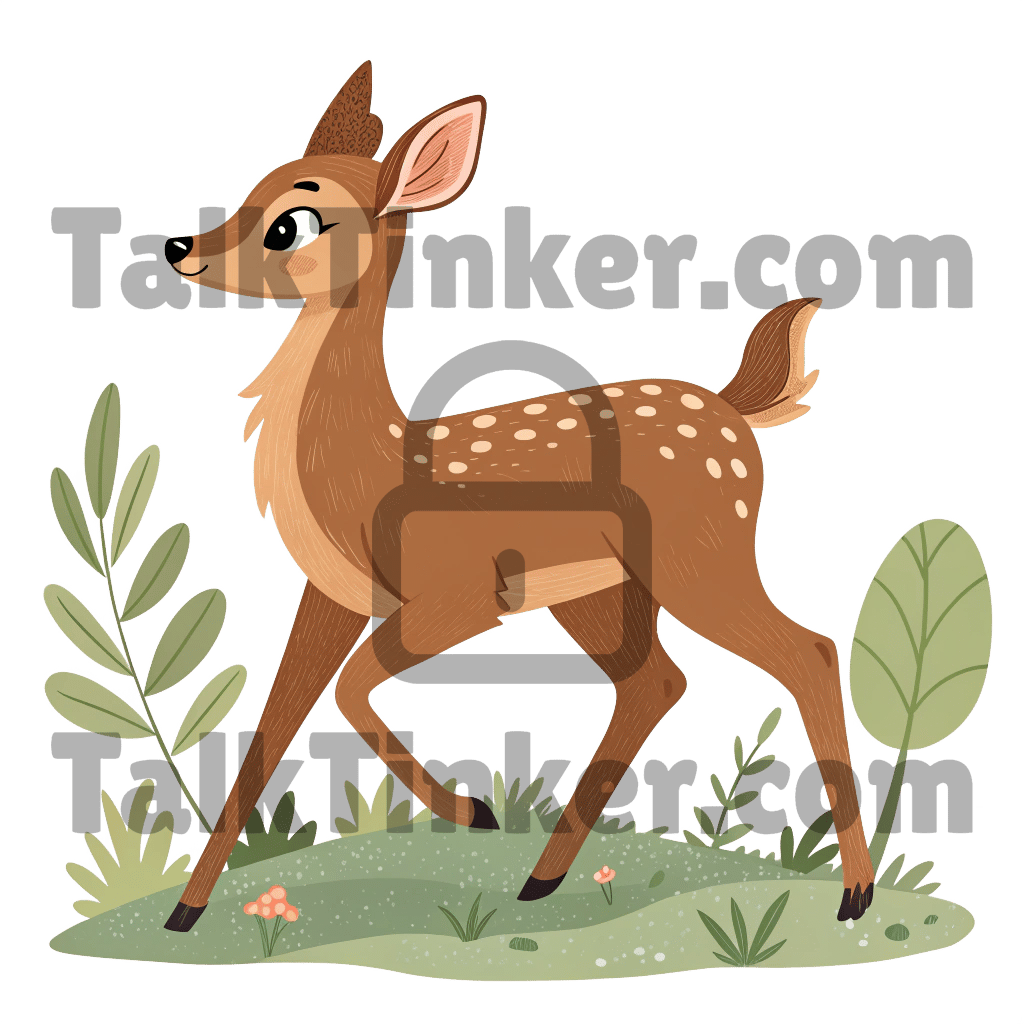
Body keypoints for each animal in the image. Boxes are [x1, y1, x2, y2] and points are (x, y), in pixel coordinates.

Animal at [161, 60, 875, 932]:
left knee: (807, 651)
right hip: (601, 590)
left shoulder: (462, 592)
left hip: (701, 553)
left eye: (292, 223)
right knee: (656, 682)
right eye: (250, 190)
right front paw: (184, 915)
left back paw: (855, 895)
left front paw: (467, 809)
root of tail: (736, 411)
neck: (365, 472)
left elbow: (351, 687)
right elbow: (270, 731)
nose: (180, 251)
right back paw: (541, 880)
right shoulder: (327, 593)